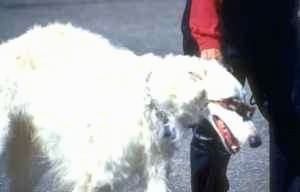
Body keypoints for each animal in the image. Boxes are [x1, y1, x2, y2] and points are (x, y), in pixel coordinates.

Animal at [0, 23, 260, 191]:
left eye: (247, 105)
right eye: (231, 102)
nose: (257, 140)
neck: (151, 97)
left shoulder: (155, 169)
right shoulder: (95, 175)